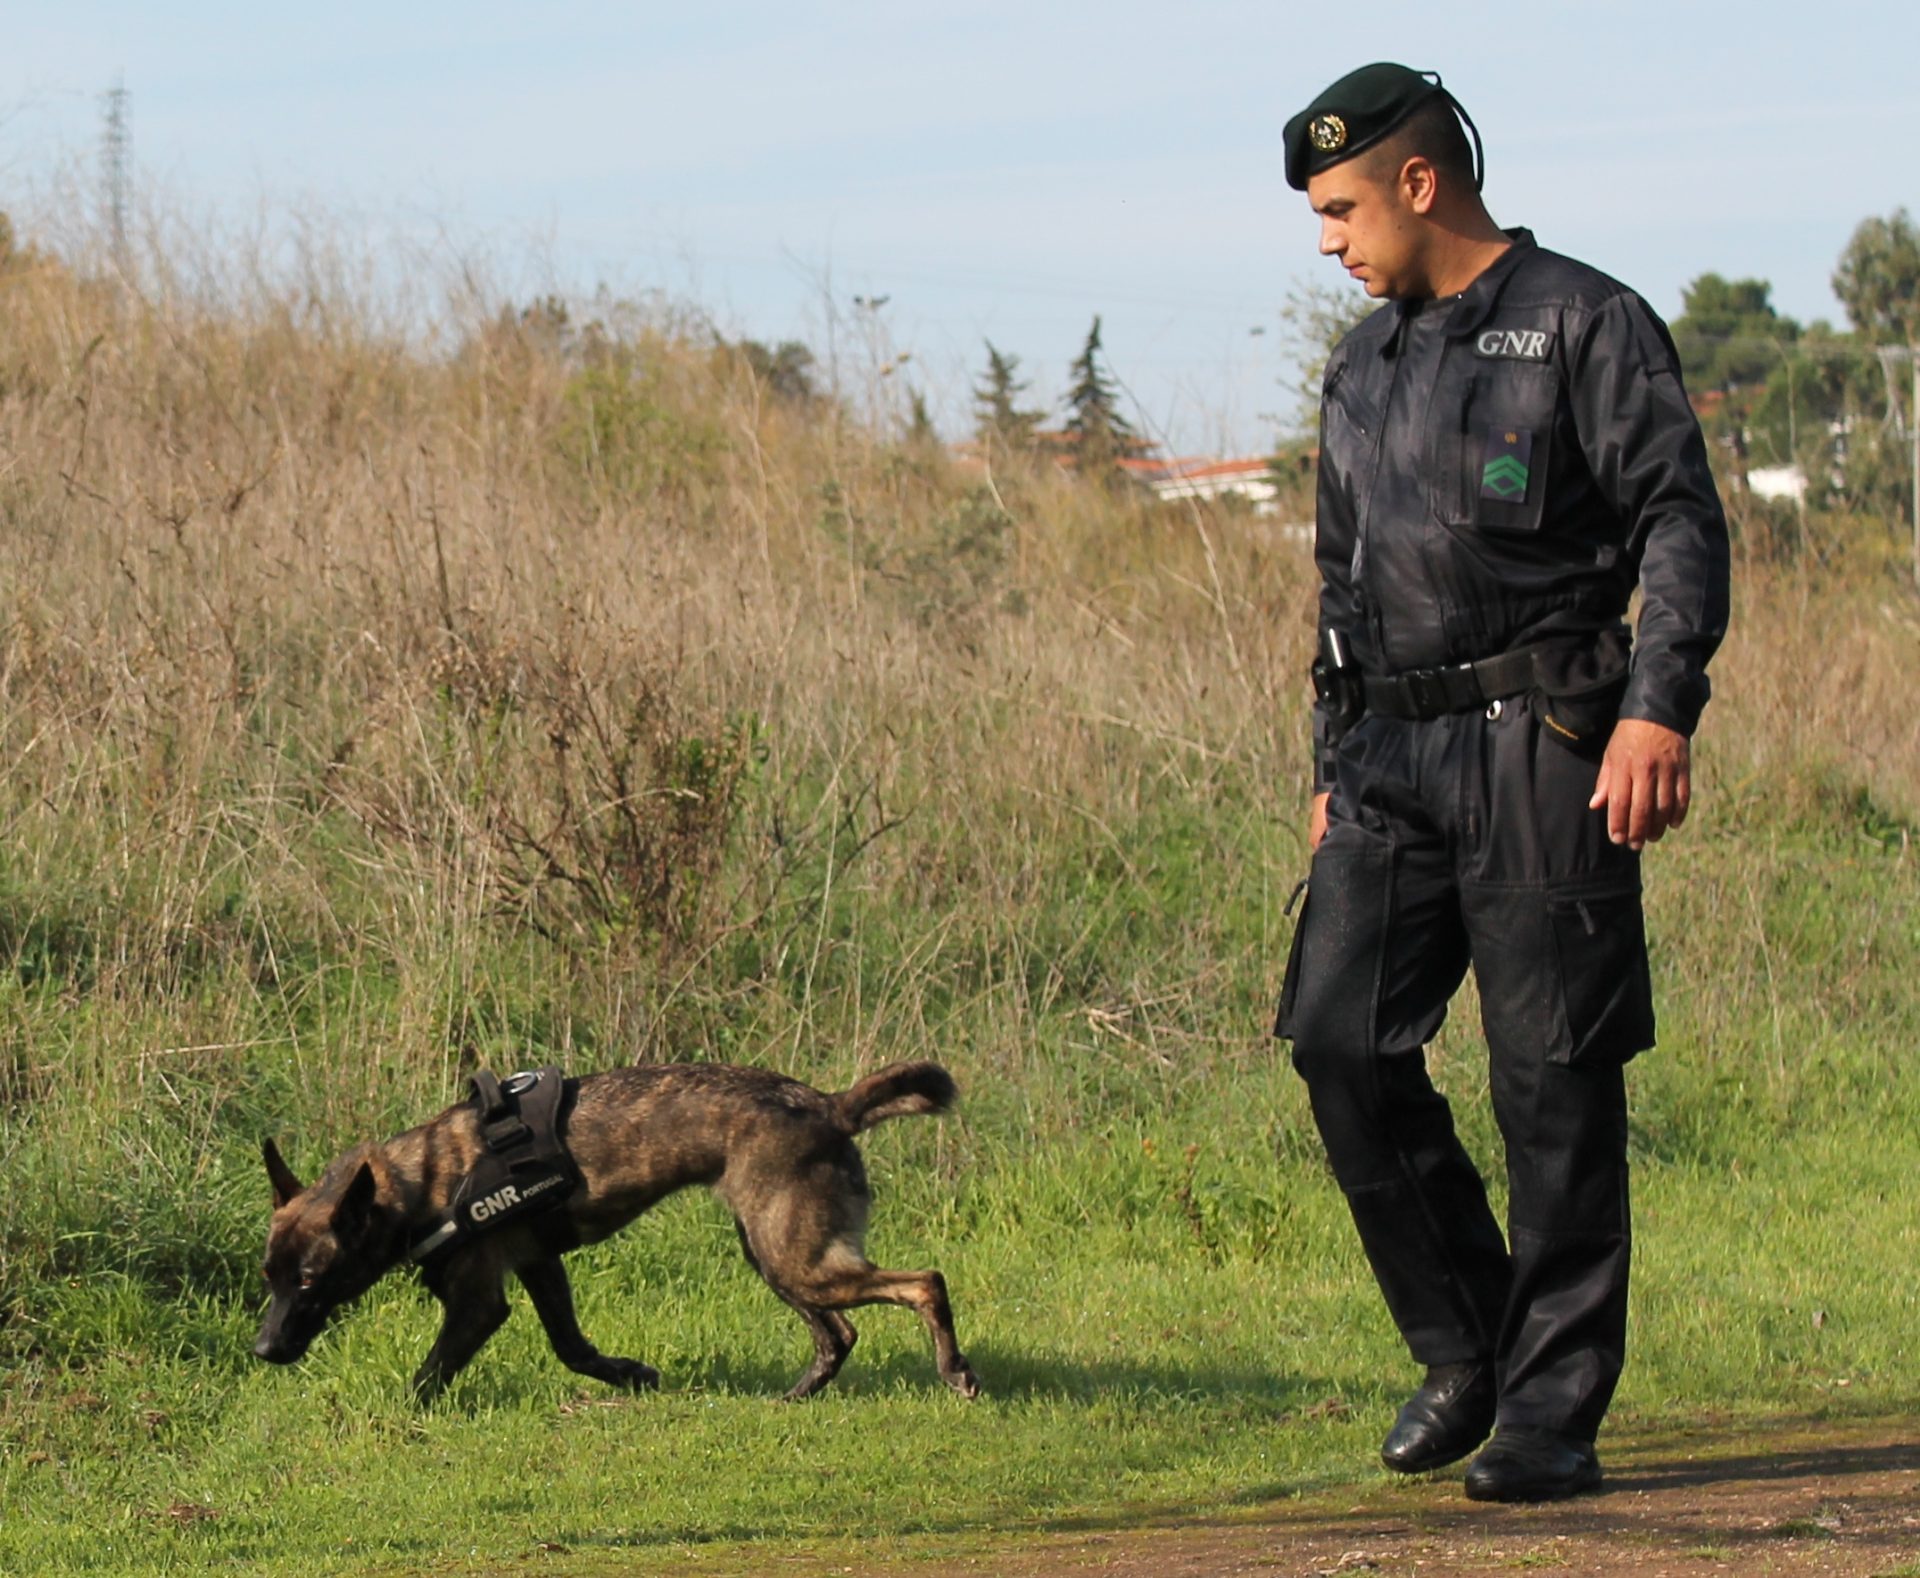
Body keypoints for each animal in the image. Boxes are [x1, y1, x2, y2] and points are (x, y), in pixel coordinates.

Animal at [249, 1059, 983, 1405]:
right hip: (775, 1255)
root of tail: (830, 1105)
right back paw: (797, 1395)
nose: (262, 1350)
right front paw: (630, 1374)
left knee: (925, 1283)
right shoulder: (540, 1267)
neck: (420, 1182)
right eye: (269, 1278)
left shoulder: (480, 1303)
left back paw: (955, 1371)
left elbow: (428, 1376)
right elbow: (572, 1348)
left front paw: (401, 1416)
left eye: (310, 1280)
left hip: (796, 1259)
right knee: (840, 1333)